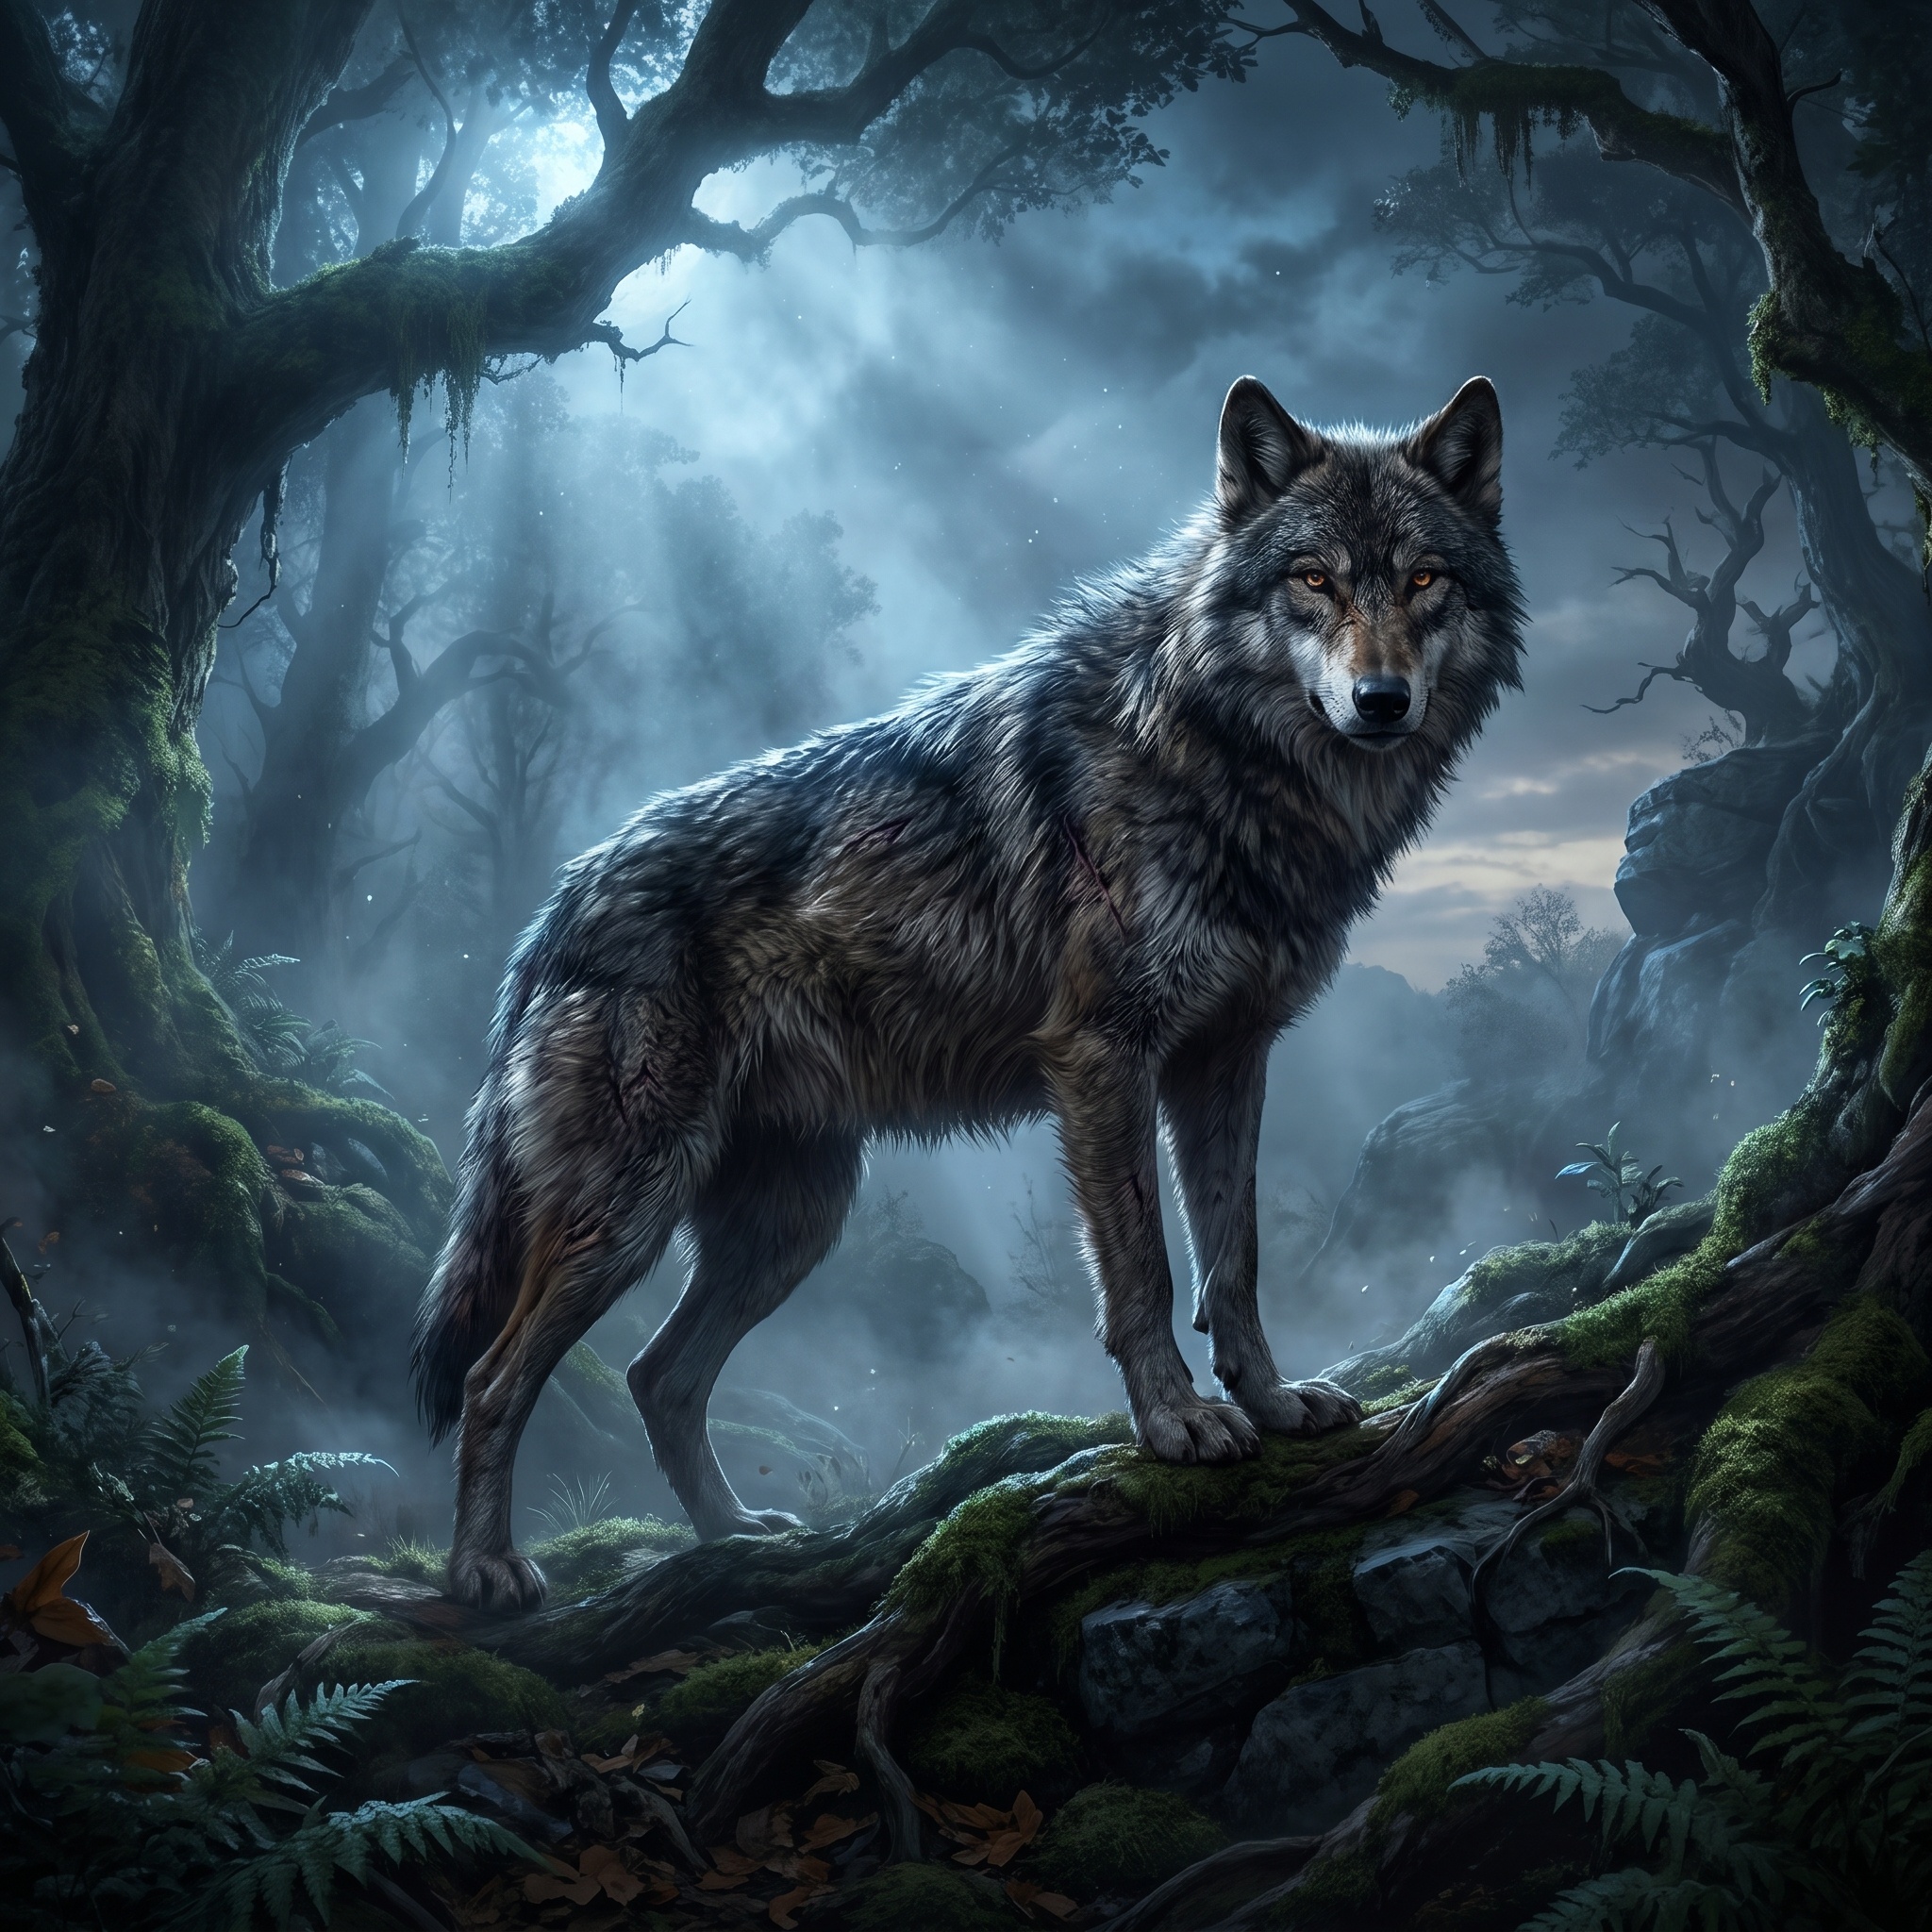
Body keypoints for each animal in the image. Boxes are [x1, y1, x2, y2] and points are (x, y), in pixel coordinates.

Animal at [414, 374, 1525, 1609]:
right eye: (1314, 578)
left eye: (1422, 578)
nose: (1380, 699)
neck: (1210, 750)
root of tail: (553, 909)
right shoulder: (1103, 1056)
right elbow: (1142, 1267)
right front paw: (1176, 1424)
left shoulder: (1225, 1058)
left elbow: (1230, 1258)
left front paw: (1273, 1405)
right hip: (630, 1210)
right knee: (495, 1378)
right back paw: (487, 1570)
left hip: (789, 1220)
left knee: (660, 1375)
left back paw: (741, 1541)